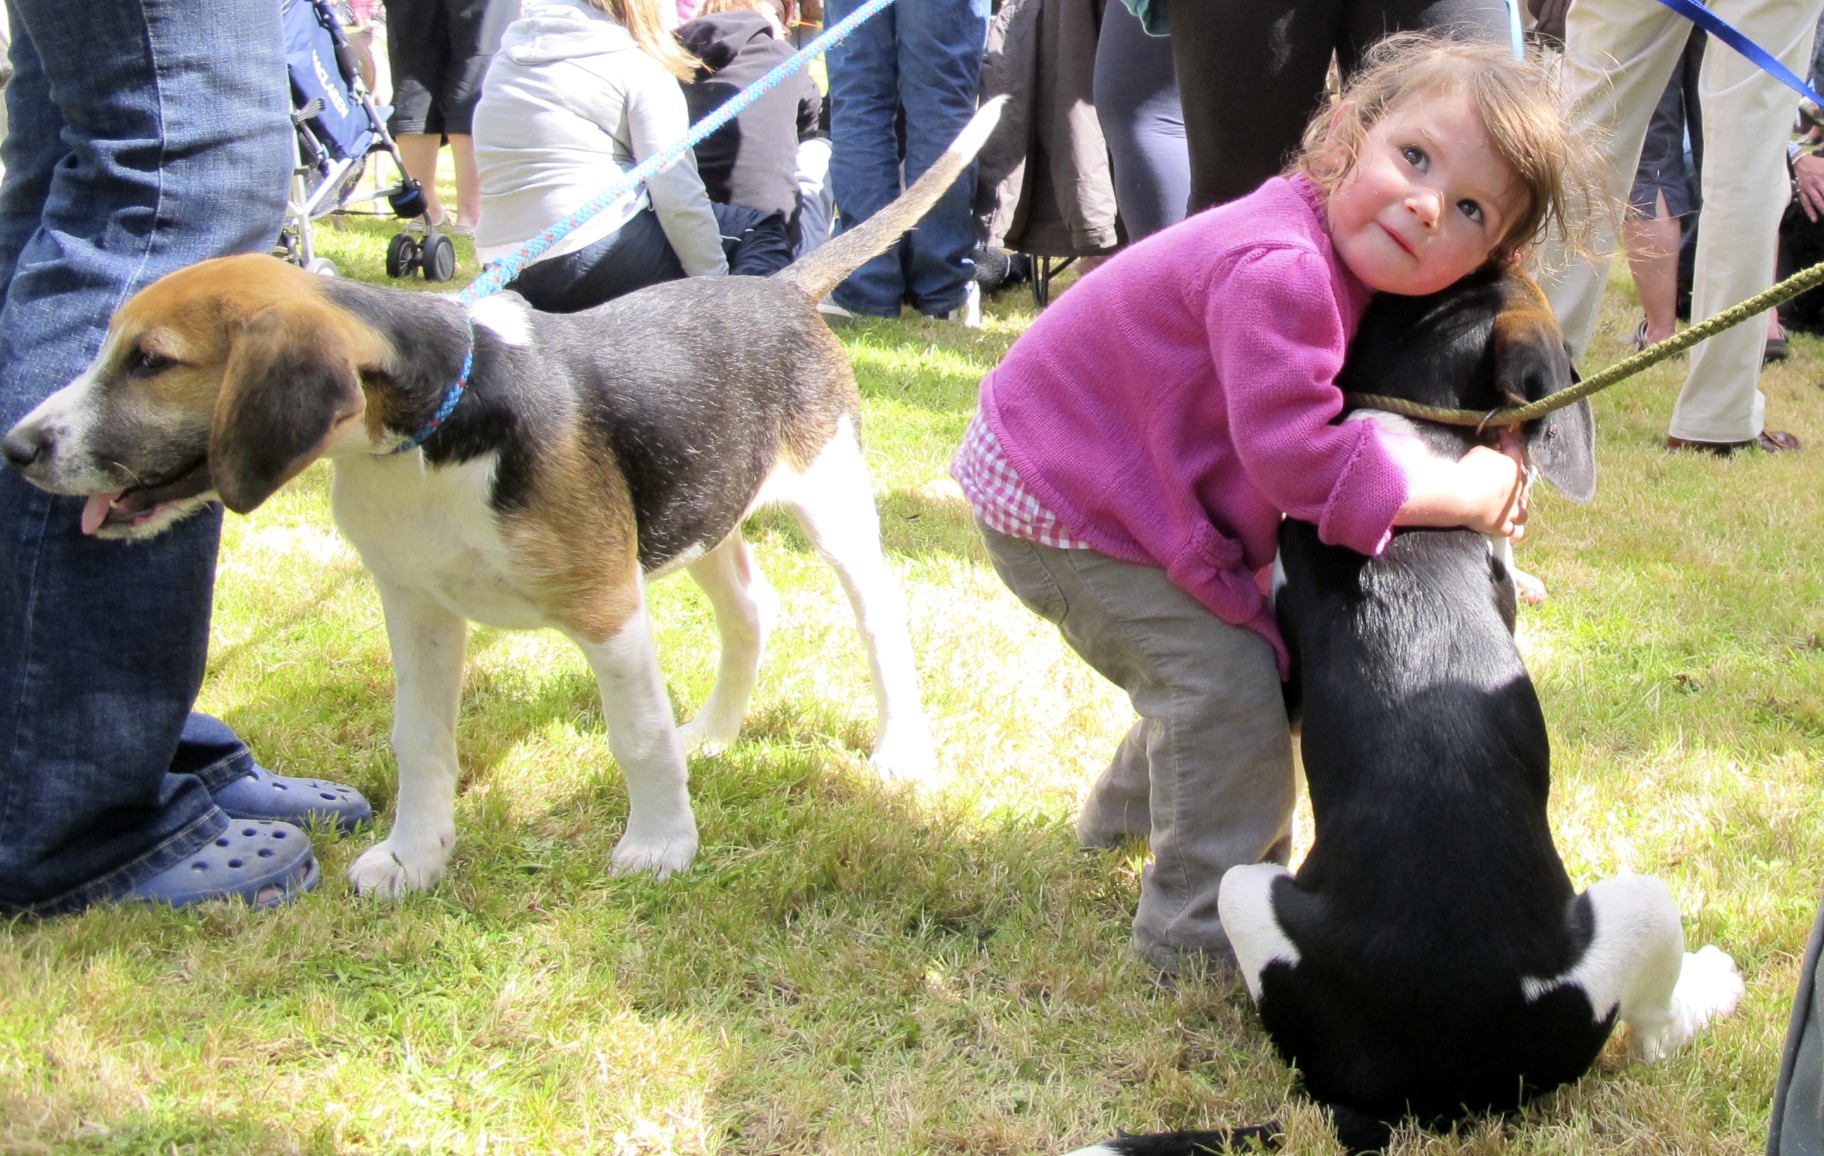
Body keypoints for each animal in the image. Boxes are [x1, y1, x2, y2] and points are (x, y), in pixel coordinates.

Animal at [2, 101, 1006, 899]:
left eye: (151, 362)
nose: (19, 448)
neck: (428, 432)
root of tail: (779, 291)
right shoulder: (416, 609)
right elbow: (419, 744)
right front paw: (413, 860)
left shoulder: (606, 607)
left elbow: (637, 735)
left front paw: (658, 847)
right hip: (700, 511)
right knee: (751, 613)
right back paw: (717, 734)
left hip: (833, 511)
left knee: (879, 622)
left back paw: (899, 752)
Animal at [1068, 268, 1745, 1155]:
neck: (1410, 418)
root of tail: (1412, 1096)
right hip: (1627, 908)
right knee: (1657, 1027)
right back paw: (1714, 986)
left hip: (1252, 890)